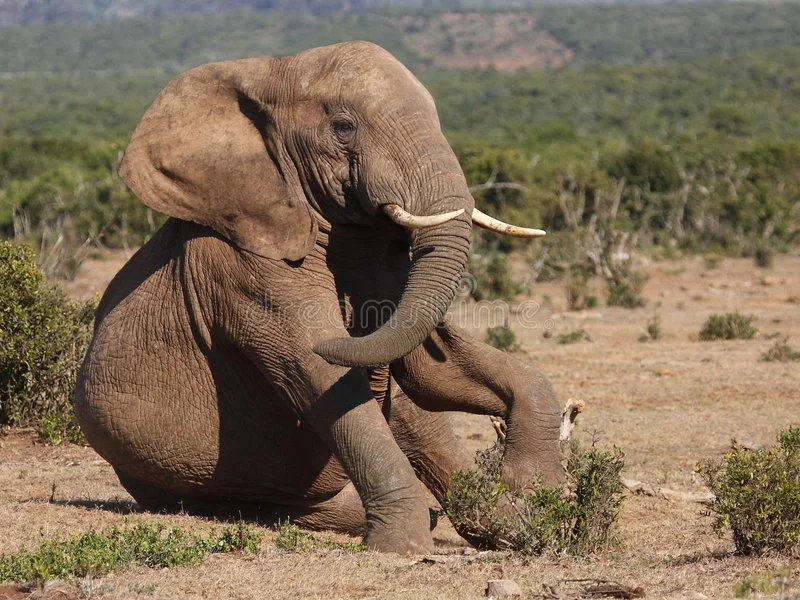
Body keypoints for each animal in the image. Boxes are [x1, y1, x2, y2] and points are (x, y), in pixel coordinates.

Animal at [74, 41, 564, 554]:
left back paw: (506, 526)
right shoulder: (244, 266)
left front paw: (533, 492)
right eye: (343, 127)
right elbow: (319, 373)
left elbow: (430, 369)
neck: (272, 71)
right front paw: (400, 550)